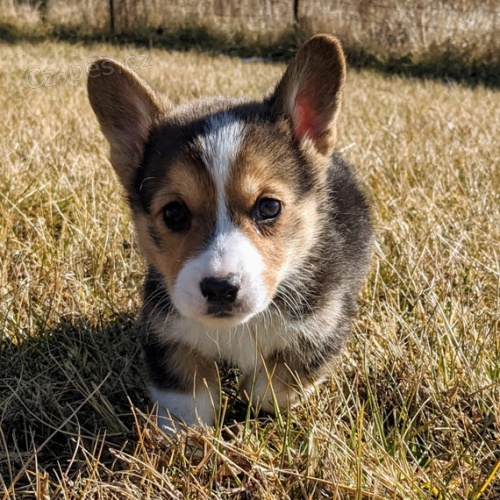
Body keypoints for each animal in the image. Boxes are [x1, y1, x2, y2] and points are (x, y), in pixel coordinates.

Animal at [88, 35, 374, 432]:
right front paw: (187, 433)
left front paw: (252, 397)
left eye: (269, 207)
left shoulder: (322, 328)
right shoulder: (167, 334)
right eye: (174, 213)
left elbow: (274, 385)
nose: (220, 288)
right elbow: (187, 398)